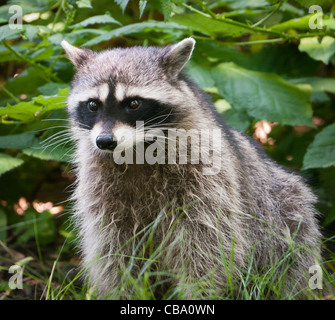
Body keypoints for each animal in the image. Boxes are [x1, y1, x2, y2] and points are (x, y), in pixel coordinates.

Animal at [62, 38, 322, 298]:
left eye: (134, 103)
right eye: (93, 105)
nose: (105, 141)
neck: (136, 149)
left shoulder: (206, 173)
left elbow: (206, 242)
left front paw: (198, 291)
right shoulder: (101, 189)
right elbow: (113, 246)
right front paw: (123, 290)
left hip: (285, 210)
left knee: (290, 256)